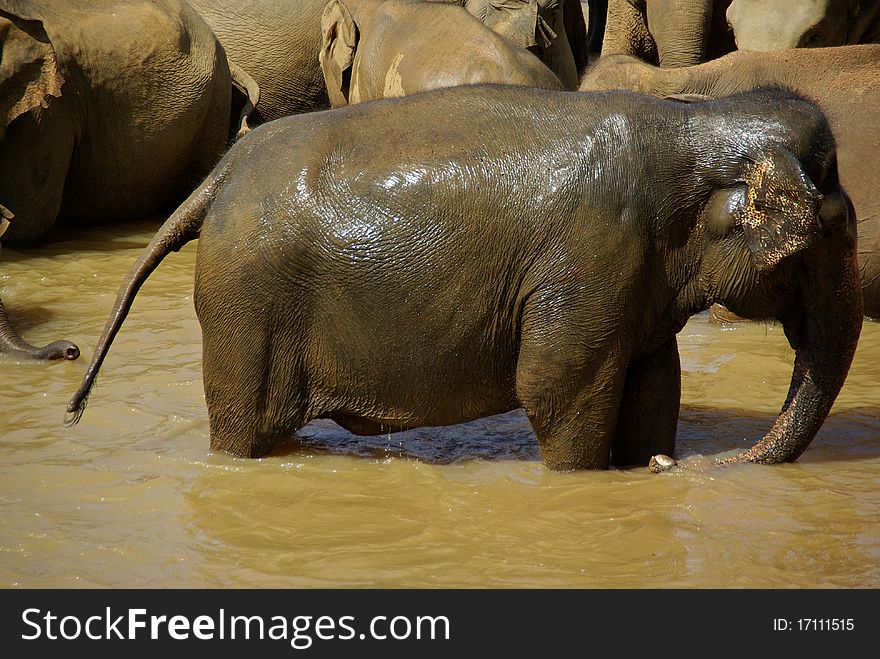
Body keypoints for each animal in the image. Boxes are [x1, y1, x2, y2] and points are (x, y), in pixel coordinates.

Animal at [67, 85, 860, 472]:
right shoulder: (590, 263)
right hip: (244, 303)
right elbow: (555, 390)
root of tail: (220, 174)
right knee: (244, 430)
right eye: (840, 232)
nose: (683, 465)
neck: (698, 122)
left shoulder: (635, 282)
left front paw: (646, 461)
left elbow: (654, 382)